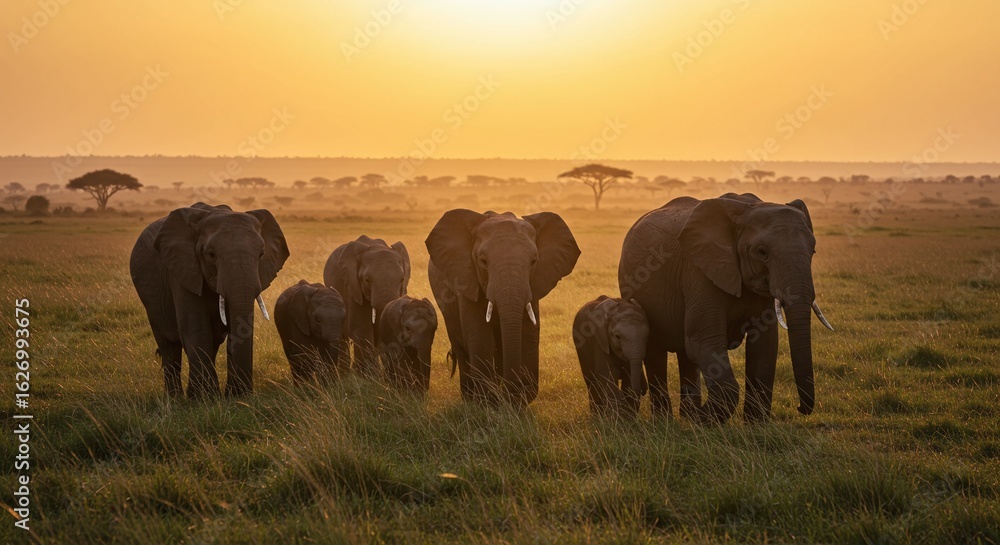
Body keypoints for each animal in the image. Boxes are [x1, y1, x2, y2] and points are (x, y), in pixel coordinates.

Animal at [130, 202, 289, 398]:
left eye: (262, 254)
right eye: (211, 255)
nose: (243, 393)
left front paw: (233, 397)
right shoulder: (183, 270)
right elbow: (196, 328)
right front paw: (203, 399)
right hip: (151, 303)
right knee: (169, 347)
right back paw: (175, 399)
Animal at [323, 235, 410, 377]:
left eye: (402, 279)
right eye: (367, 280)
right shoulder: (352, 286)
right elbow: (361, 328)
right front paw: (368, 377)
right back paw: (345, 374)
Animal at [427, 209, 581, 406]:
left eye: (533, 262)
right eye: (483, 262)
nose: (506, 395)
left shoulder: (533, 285)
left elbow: (529, 335)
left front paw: (515, 401)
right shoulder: (466, 279)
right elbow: (480, 336)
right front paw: (489, 402)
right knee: (460, 345)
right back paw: (470, 398)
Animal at [618, 193, 834, 423]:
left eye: (813, 251)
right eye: (762, 252)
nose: (800, 408)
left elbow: (765, 344)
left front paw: (755, 424)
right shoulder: (699, 272)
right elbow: (704, 340)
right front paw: (703, 418)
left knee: (685, 353)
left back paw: (686, 414)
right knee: (656, 351)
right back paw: (667, 419)